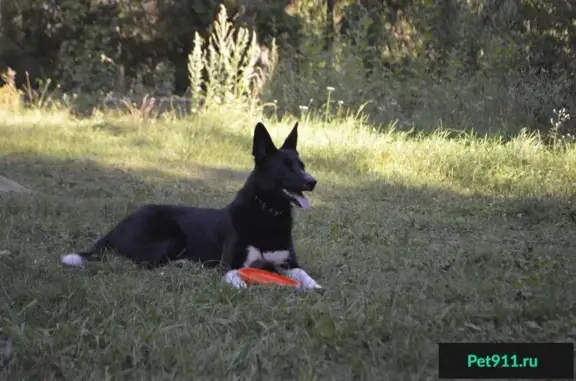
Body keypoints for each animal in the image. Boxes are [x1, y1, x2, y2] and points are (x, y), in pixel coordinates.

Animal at [64, 121, 324, 290]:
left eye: (302, 165)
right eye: (285, 167)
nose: (312, 181)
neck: (267, 214)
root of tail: (114, 230)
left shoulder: (288, 263)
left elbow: (304, 274)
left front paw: (315, 287)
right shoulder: (229, 264)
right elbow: (237, 280)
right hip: (173, 238)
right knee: (144, 264)